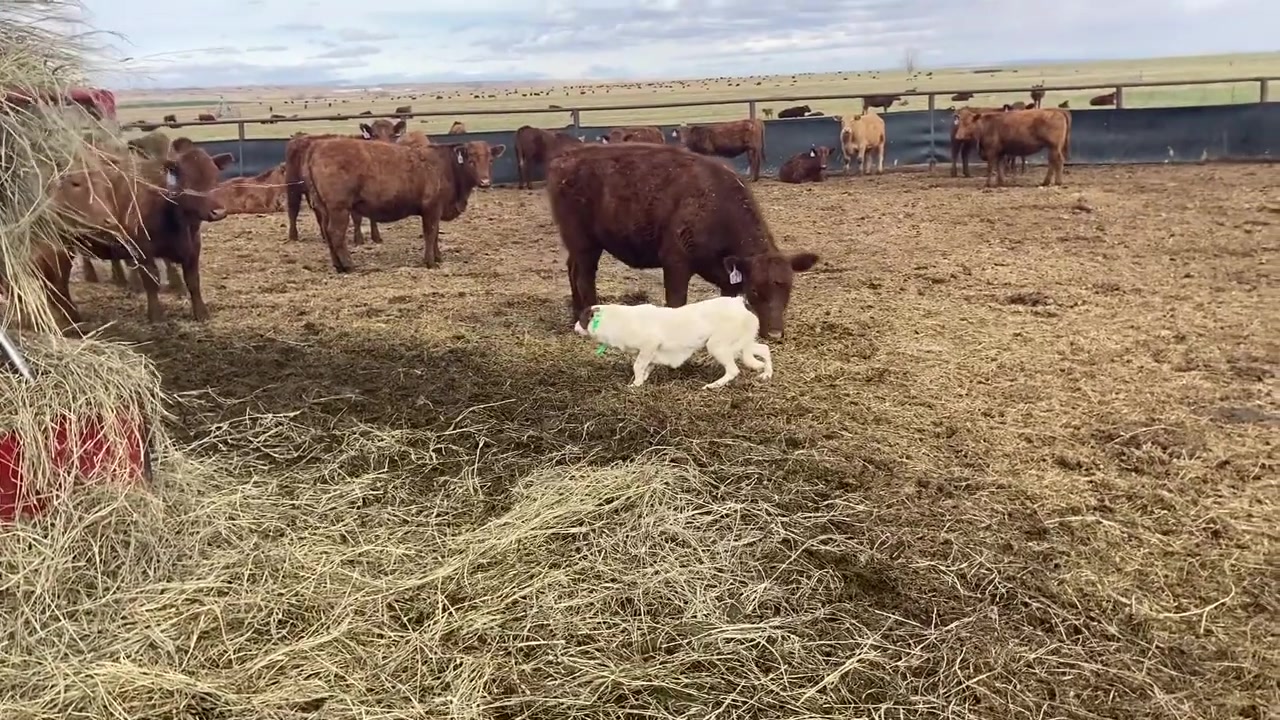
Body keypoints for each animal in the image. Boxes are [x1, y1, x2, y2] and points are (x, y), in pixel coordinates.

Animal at [302, 138, 505, 272]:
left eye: (490, 160)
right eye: (471, 160)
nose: (485, 182)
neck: (446, 166)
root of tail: (318, 145)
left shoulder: (436, 211)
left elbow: (435, 234)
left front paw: (438, 257)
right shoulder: (432, 208)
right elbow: (430, 233)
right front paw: (430, 262)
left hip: (324, 208)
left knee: (328, 233)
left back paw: (338, 265)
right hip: (339, 208)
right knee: (336, 234)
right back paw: (349, 265)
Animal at [544, 142, 819, 339]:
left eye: (788, 287)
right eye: (754, 290)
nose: (775, 334)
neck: (714, 204)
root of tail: (564, 158)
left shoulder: (726, 275)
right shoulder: (675, 263)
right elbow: (677, 302)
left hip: (576, 245)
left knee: (572, 270)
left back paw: (575, 315)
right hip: (585, 243)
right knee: (584, 277)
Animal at [574, 295, 773, 389]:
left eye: (581, 319)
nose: (574, 327)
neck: (615, 319)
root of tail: (740, 303)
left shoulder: (649, 345)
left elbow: (637, 366)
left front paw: (635, 385)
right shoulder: (651, 354)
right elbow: (645, 368)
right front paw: (641, 381)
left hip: (717, 346)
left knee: (733, 370)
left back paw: (713, 386)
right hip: (741, 346)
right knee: (764, 349)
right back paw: (767, 374)